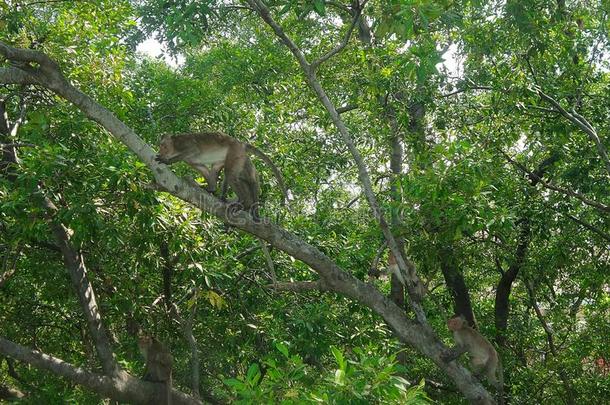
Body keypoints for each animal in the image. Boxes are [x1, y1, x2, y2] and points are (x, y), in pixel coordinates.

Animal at [154, 132, 288, 219]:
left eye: (163, 146)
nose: (160, 152)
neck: (175, 146)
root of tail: (239, 143)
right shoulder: (189, 160)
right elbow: (202, 168)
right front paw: (211, 189)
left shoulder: (184, 143)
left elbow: (194, 150)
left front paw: (167, 161)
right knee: (218, 168)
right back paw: (215, 191)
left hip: (235, 152)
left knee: (230, 174)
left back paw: (246, 202)